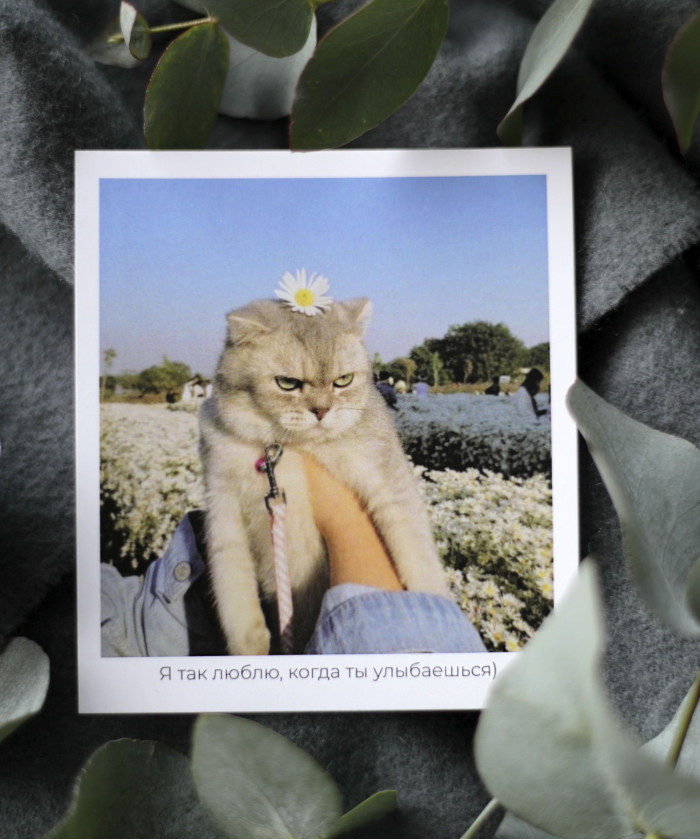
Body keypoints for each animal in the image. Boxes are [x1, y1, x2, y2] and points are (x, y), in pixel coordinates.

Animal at [199, 297, 449, 655]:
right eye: (287, 383)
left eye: (343, 380)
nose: (321, 411)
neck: (291, 448)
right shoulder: (221, 505)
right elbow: (233, 592)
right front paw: (253, 648)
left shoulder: (389, 480)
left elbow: (417, 552)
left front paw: (435, 602)